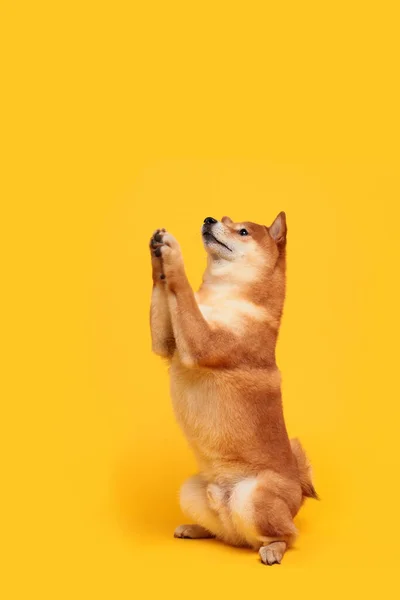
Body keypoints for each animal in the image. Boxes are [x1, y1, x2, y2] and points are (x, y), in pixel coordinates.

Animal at [148, 213, 318, 564]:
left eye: (242, 231)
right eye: (226, 219)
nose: (210, 219)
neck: (223, 297)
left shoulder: (201, 343)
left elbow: (182, 288)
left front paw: (172, 253)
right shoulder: (168, 343)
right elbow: (166, 291)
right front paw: (157, 254)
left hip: (253, 496)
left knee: (286, 535)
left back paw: (273, 548)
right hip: (192, 491)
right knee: (228, 535)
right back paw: (198, 529)